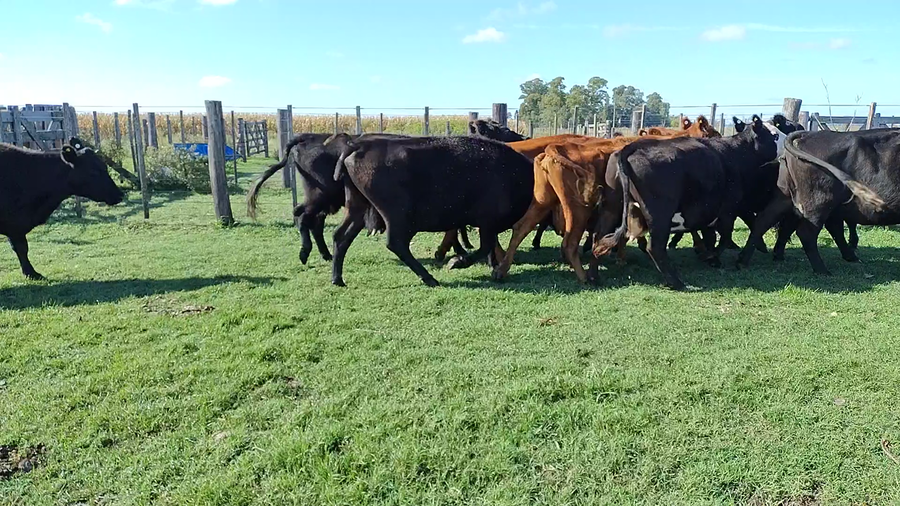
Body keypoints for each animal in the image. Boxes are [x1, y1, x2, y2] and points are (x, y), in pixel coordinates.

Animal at [0, 138, 124, 280]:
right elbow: (21, 248)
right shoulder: (15, 225)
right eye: (93, 171)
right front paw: (31, 273)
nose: (120, 195)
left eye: (105, 167)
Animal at [327, 135, 534, 287]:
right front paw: (458, 262)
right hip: (398, 216)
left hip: (357, 207)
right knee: (396, 243)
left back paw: (337, 279)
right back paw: (429, 278)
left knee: (341, 236)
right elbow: (485, 246)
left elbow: (489, 246)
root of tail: (358, 145)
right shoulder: (488, 222)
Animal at [593, 115, 778, 290]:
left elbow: (711, 236)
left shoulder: (709, 211)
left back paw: (593, 277)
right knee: (655, 247)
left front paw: (711, 258)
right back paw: (676, 282)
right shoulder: (728, 210)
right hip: (660, 214)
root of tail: (630, 148)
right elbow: (725, 238)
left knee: (600, 237)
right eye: (775, 135)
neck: (736, 152)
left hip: (613, 207)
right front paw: (711, 257)